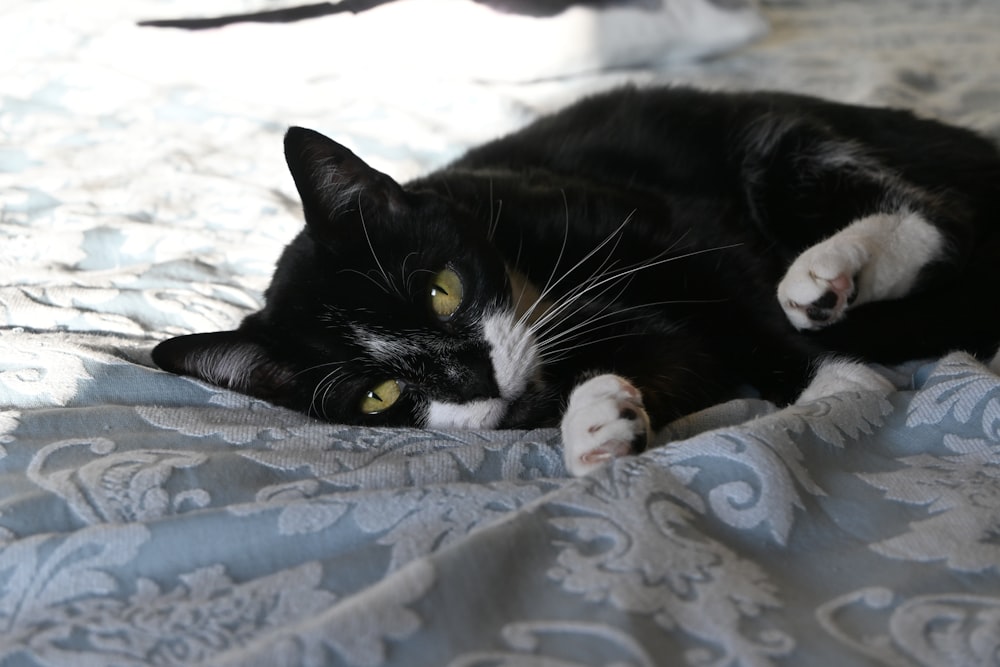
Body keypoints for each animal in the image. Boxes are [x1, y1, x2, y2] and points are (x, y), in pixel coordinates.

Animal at [150, 87, 1000, 474]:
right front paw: (598, 423)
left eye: (442, 289)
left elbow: (742, 297)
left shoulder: (665, 224)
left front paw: (837, 386)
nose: (473, 378)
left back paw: (827, 275)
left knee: (939, 214)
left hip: (776, 143)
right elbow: (675, 358)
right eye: (380, 396)